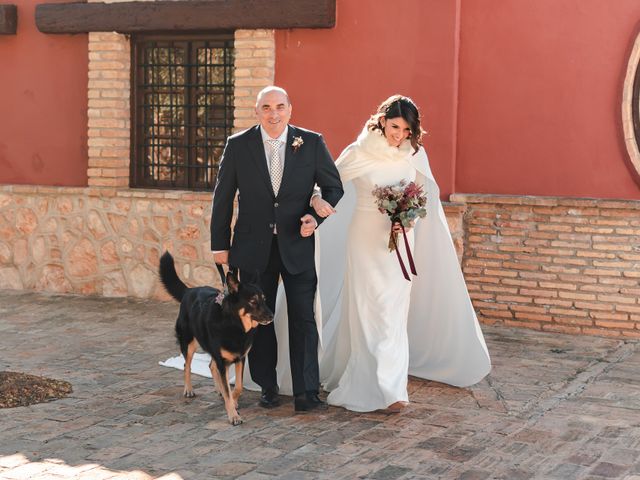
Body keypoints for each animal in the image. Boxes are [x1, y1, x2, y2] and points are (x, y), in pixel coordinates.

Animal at [159, 251, 272, 424]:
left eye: (264, 299)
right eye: (253, 301)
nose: (271, 316)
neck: (234, 324)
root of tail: (189, 291)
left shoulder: (239, 358)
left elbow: (237, 386)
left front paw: (233, 400)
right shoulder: (222, 360)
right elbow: (228, 389)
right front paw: (233, 415)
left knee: (210, 366)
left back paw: (218, 390)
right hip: (189, 343)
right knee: (187, 365)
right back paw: (188, 390)